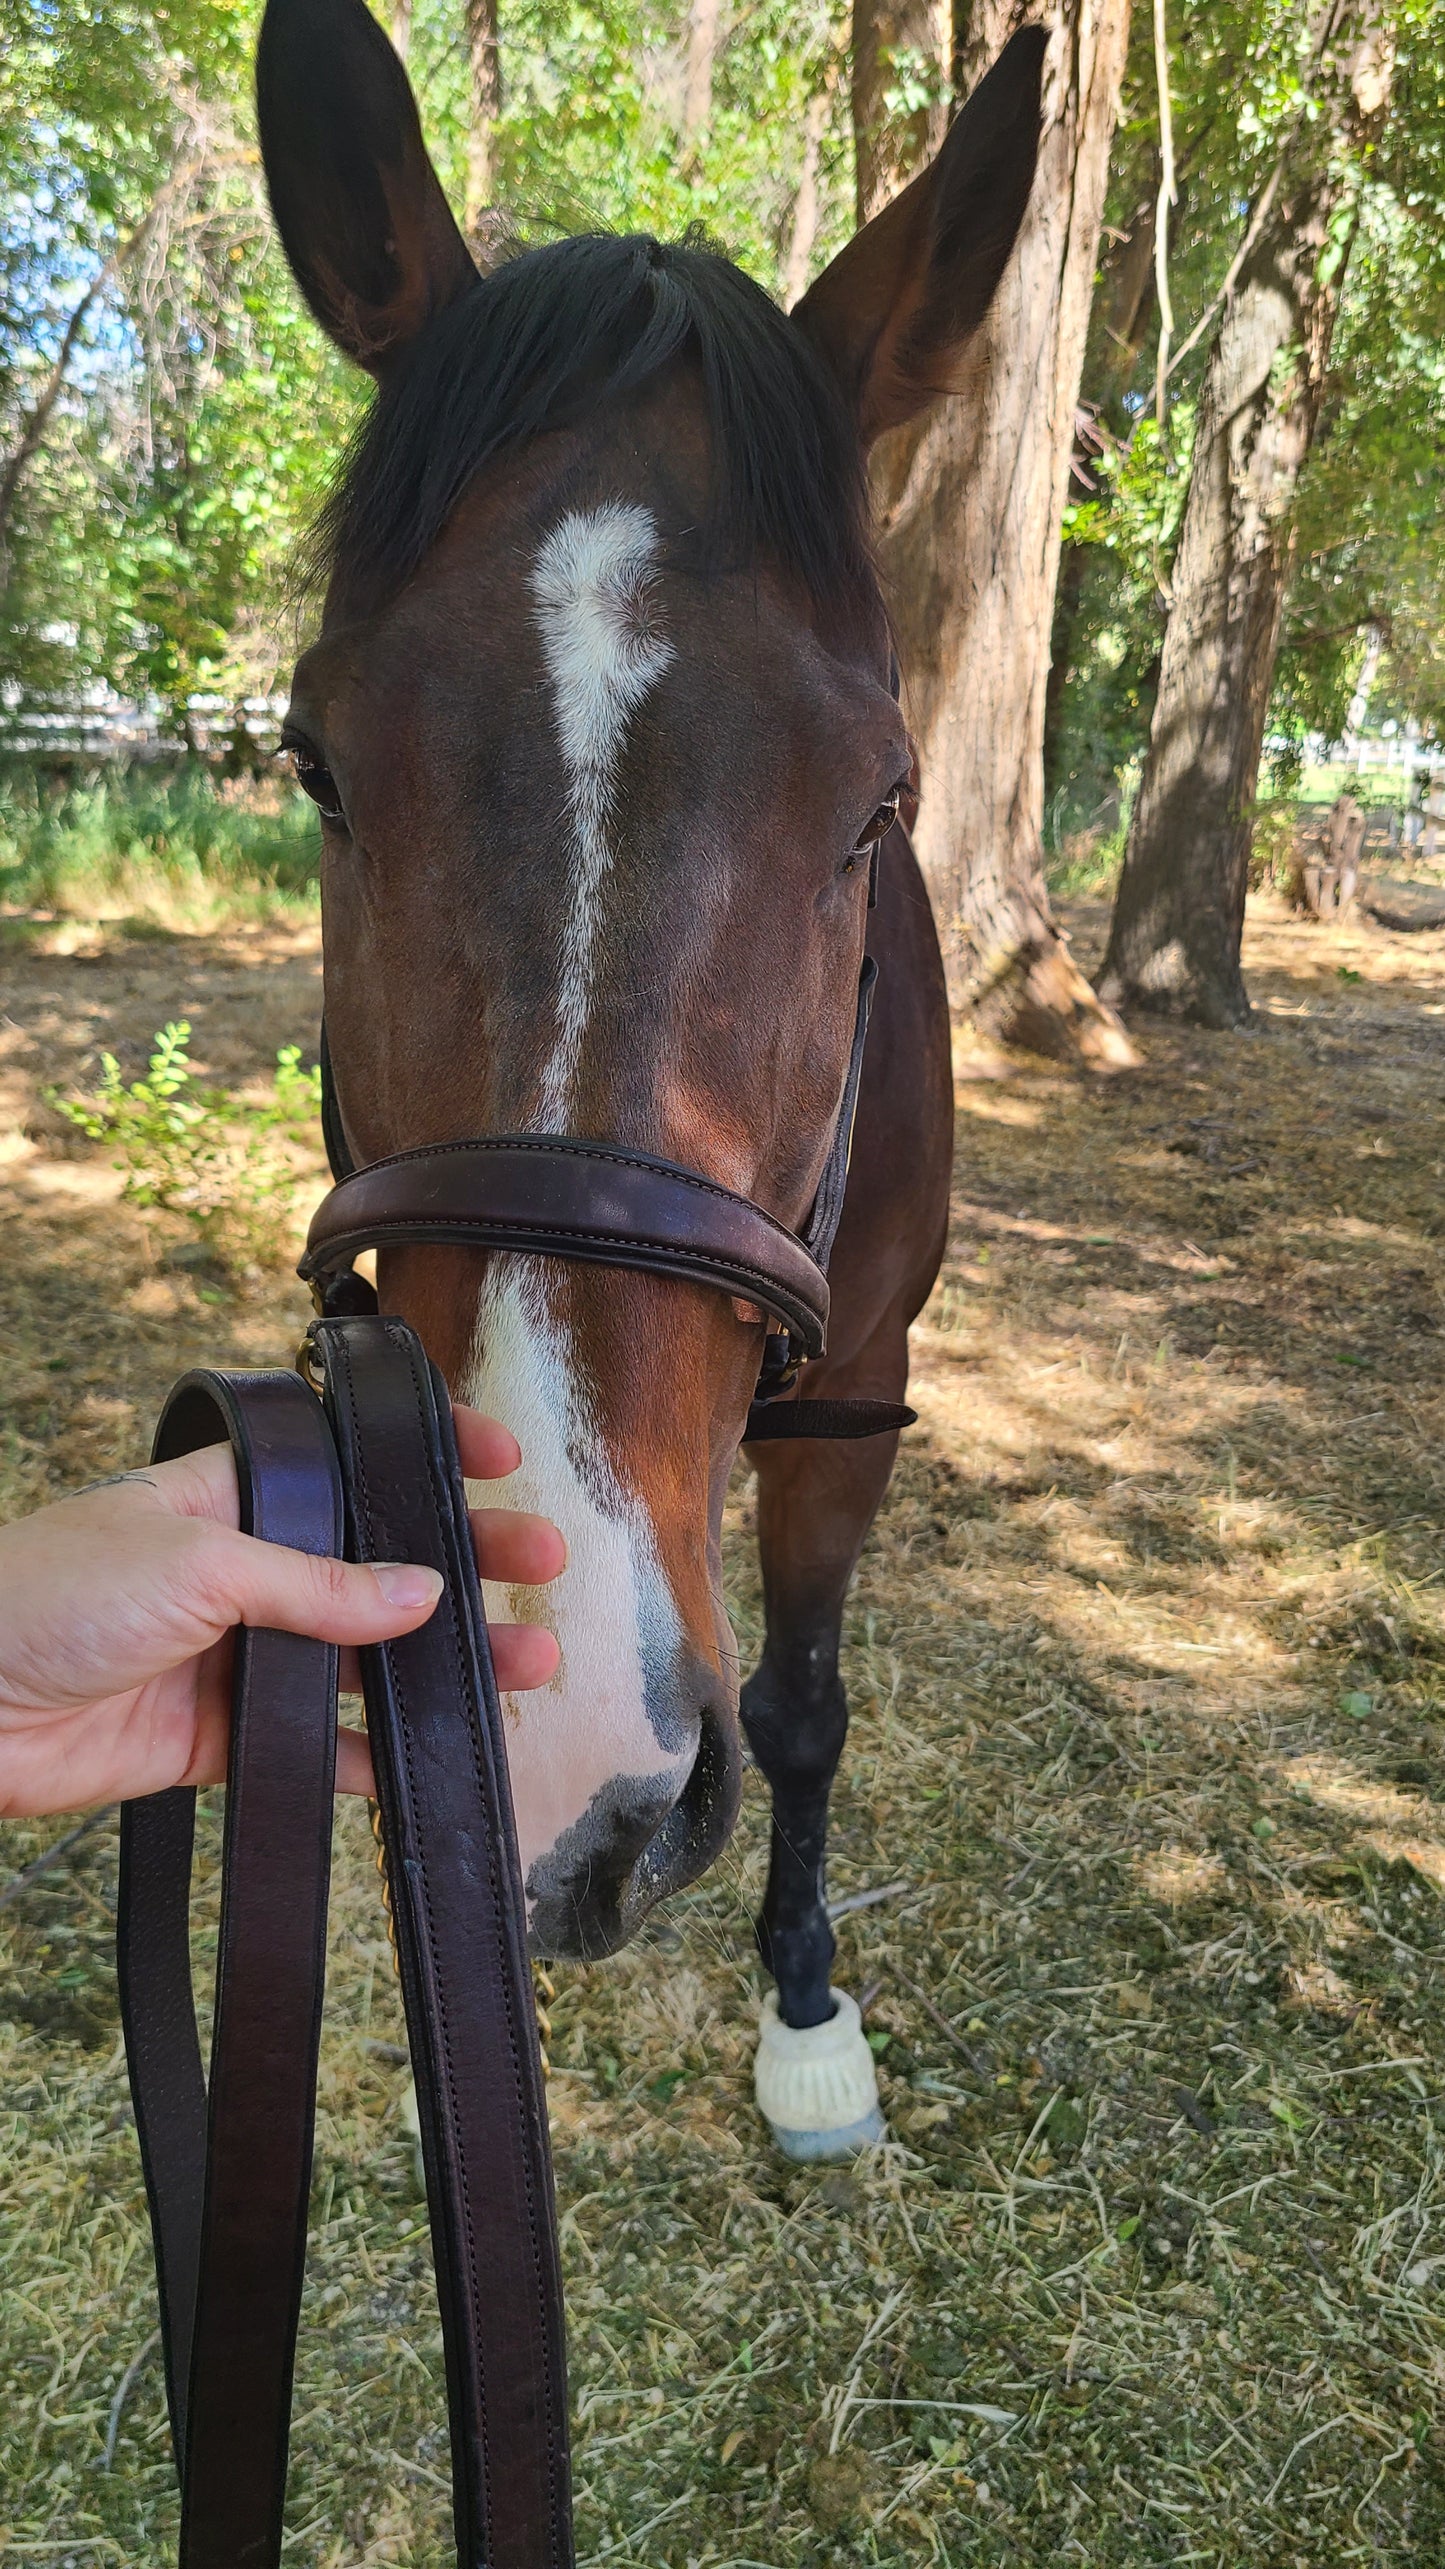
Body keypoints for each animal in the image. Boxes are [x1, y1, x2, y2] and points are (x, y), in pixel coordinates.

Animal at [258, 0, 1038, 2168]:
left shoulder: (856, 1391)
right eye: (315, 766)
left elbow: (801, 1703)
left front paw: (806, 2014)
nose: (555, 1729)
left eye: (878, 805)